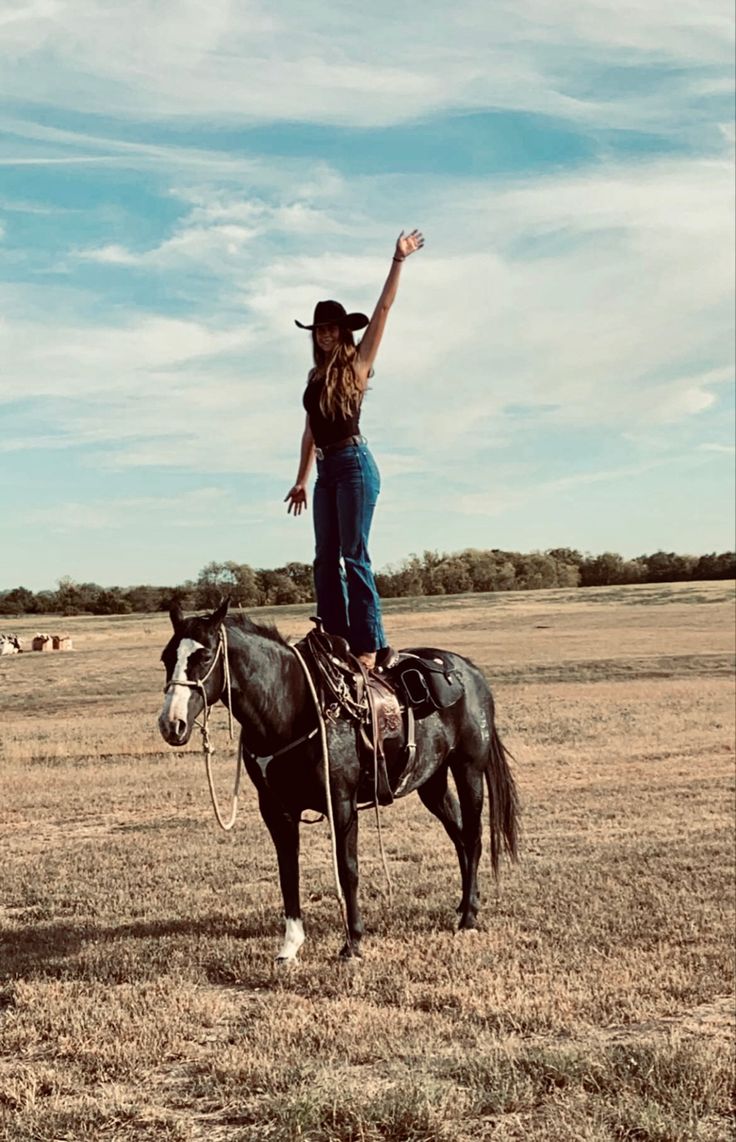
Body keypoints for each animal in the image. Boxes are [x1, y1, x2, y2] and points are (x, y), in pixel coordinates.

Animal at [158, 602, 521, 959]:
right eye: (166, 658)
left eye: (204, 657)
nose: (171, 724)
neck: (292, 708)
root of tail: (470, 672)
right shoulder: (276, 809)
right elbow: (288, 872)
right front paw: (290, 945)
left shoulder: (343, 804)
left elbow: (348, 869)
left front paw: (353, 942)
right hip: (432, 781)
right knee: (458, 836)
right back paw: (465, 905)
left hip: (468, 770)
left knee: (472, 837)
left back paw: (469, 917)